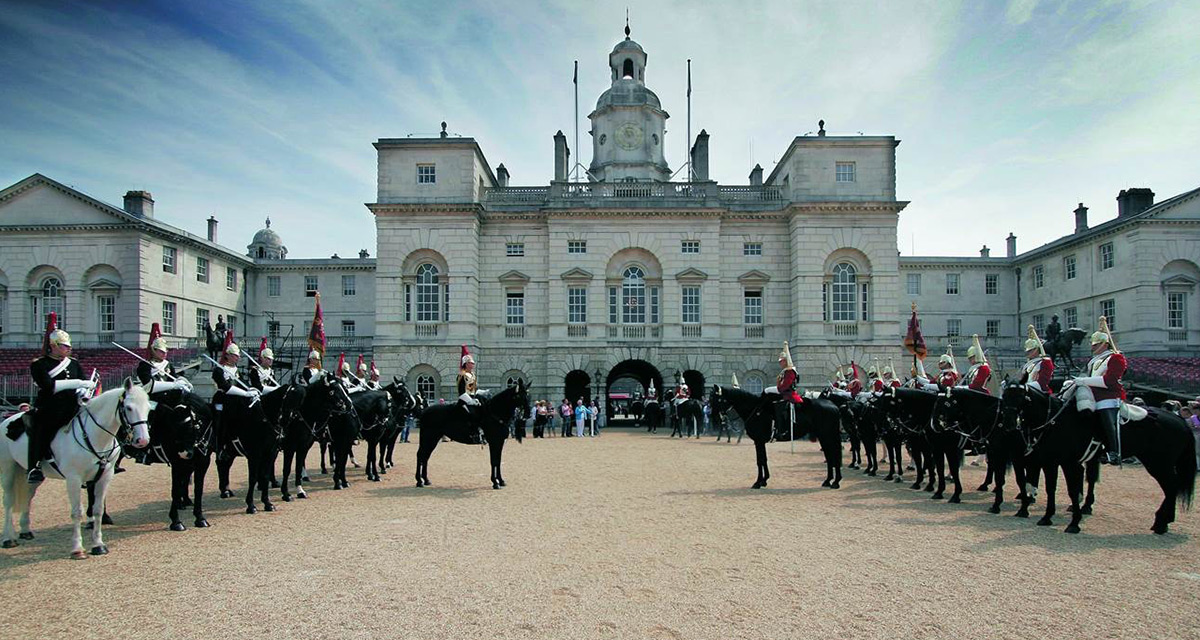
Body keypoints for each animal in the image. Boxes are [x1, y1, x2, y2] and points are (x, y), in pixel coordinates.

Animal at [0, 381, 150, 557]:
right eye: (128, 408)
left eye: (148, 408)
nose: (142, 440)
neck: (94, 436)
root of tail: (7, 420)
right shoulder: (74, 479)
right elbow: (77, 512)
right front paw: (77, 549)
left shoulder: (104, 477)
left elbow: (98, 510)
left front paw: (98, 545)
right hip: (8, 470)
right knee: (8, 501)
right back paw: (8, 538)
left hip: (31, 476)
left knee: (28, 497)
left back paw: (25, 530)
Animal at [998, 384, 1195, 533]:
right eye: (1005, 396)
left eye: (1020, 397)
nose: (1007, 423)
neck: (1054, 420)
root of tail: (1181, 421)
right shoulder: (1049, 461)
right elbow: (1050, 487)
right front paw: (1046, 516)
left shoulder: (1067, 463)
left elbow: (1070, 489)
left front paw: (1073, 523)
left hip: (1159, 463)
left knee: (1171, 486)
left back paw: (1162, 522)